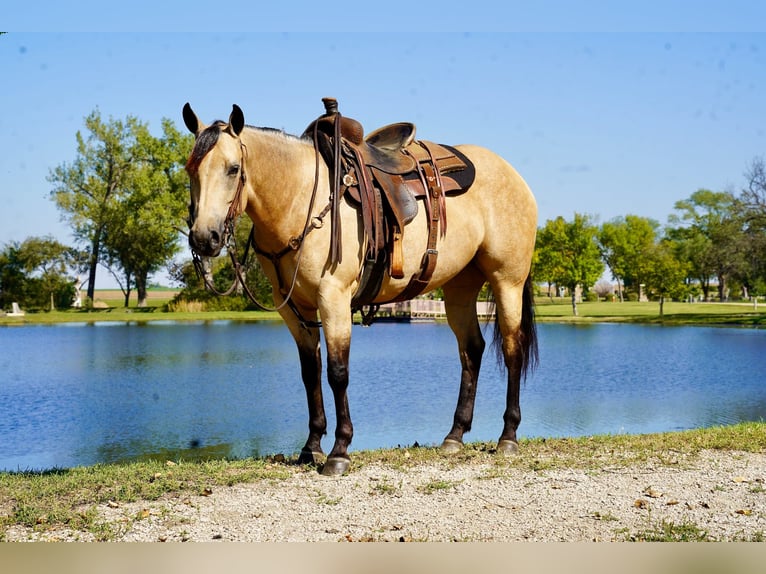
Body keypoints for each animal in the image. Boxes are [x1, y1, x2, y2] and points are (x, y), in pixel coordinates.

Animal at [182, 101, 538, 476]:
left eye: (233, 168)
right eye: (191, 169)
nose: (204, 238)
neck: (299, 199)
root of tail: (513, 175)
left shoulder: (333, 297)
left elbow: (338, 372)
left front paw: (339, 451)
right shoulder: (294, 308)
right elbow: (311, 373)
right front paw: (311, 447)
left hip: (508, 280)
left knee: (512, 349)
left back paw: (508, 437)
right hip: (460, 288)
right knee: (472, 350)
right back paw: (454, 435)